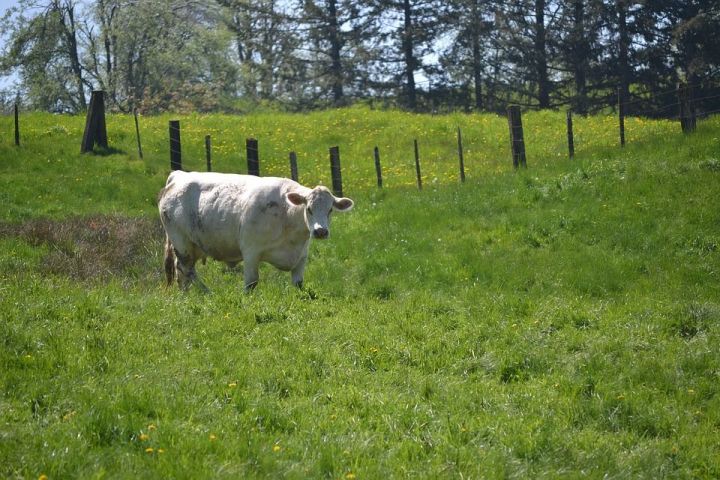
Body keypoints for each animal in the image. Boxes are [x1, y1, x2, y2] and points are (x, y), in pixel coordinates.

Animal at [158, 172, 354, 292]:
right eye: (309, 209)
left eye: (330, 210)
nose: (320, 231)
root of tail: (179, 176)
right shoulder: (251, 252)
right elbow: (251, 283)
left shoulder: (301, 256)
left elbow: (298, 284)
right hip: (181, 242)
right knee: (186, 269)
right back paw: (206, 293)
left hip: (192, 246)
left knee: (182, 271)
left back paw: (186, 295)